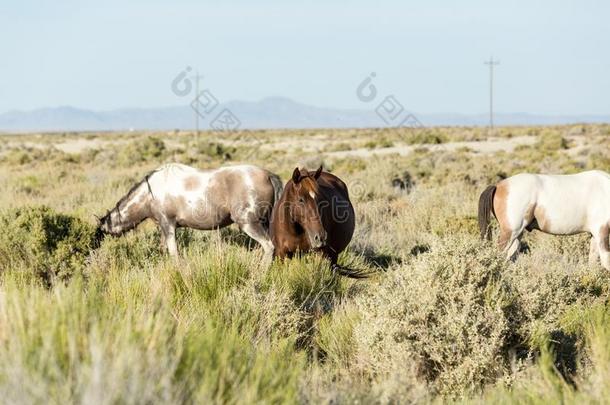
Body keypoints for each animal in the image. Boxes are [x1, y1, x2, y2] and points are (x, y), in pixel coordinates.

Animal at [97, 163, 282, 260]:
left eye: (103, 230)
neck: (150, 192)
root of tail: (268, 175)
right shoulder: (163, 228)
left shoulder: (168, 225)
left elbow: (174, 253)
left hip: (249, 224)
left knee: (269, 247)